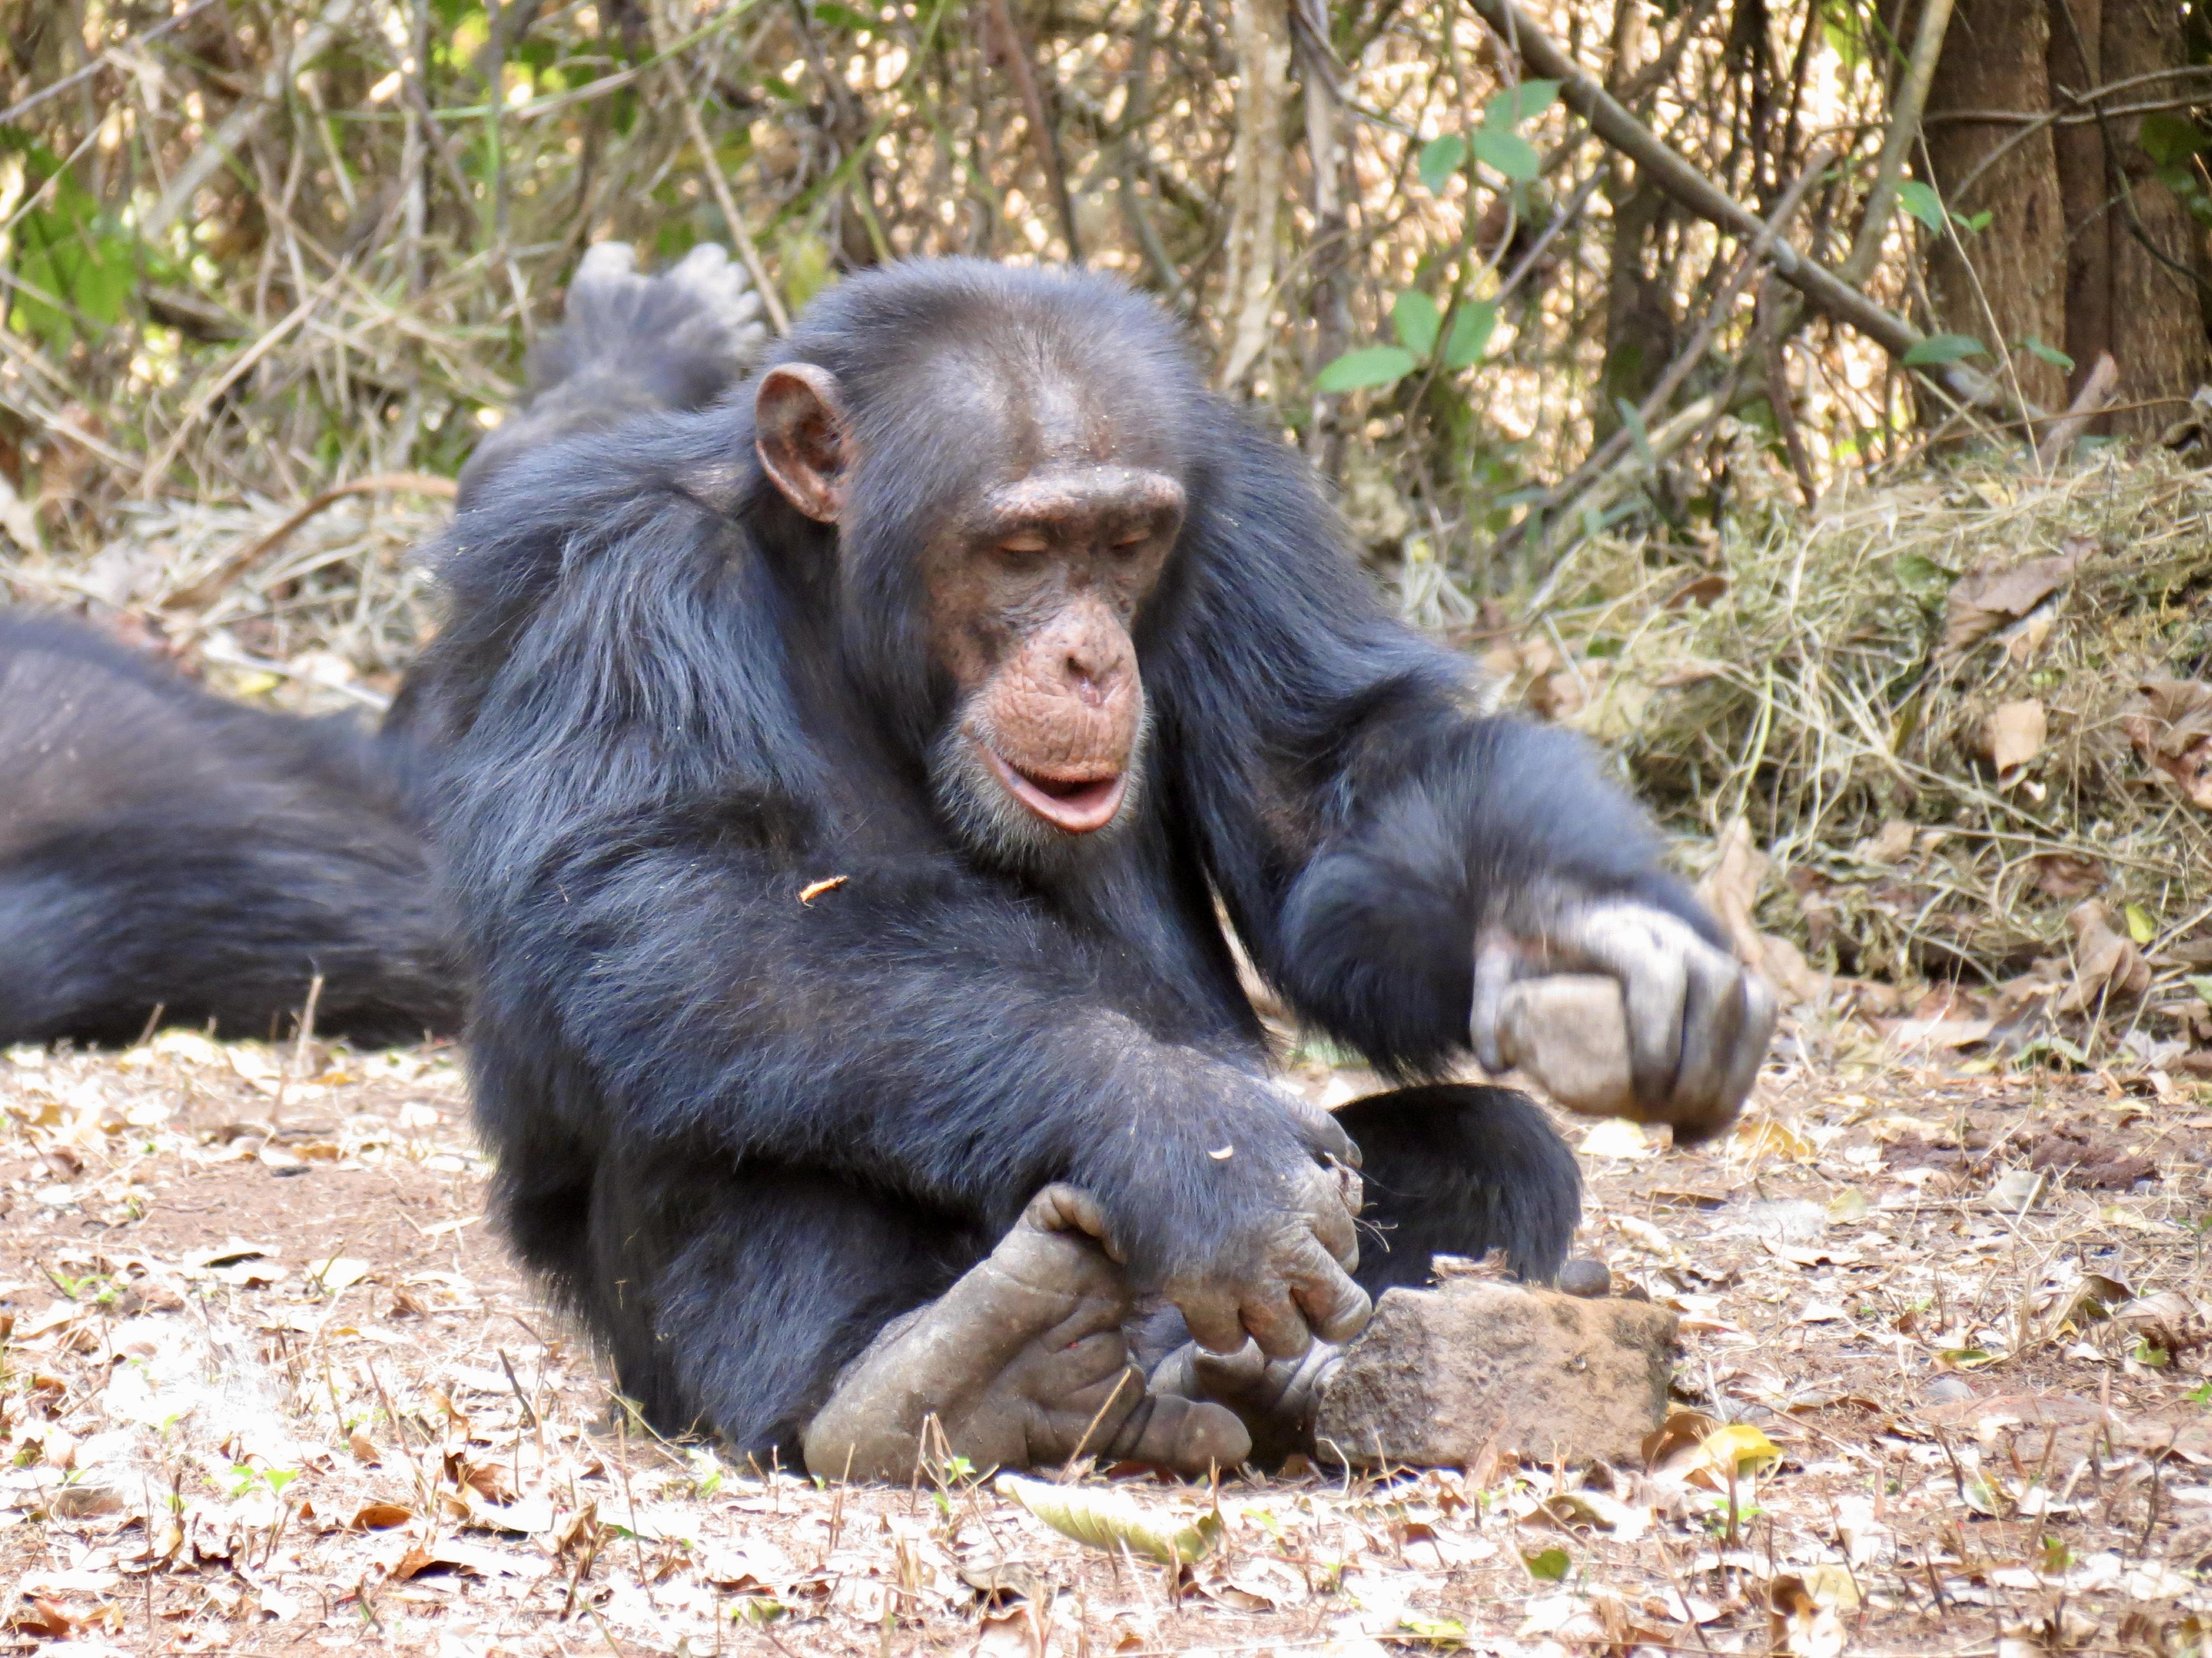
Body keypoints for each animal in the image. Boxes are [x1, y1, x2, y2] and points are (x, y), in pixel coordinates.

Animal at [403, 259, 1778, 1477]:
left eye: (1125, 540)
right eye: (1020, 549)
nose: (1086, 657)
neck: (843, 612)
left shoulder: (1240, 533)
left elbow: (1329, 791)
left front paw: (1587, 934)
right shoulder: (624, 585)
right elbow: (661, 890)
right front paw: (1183, 1141)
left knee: (1497, 1145)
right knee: (713, 1043)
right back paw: (944, 1372)